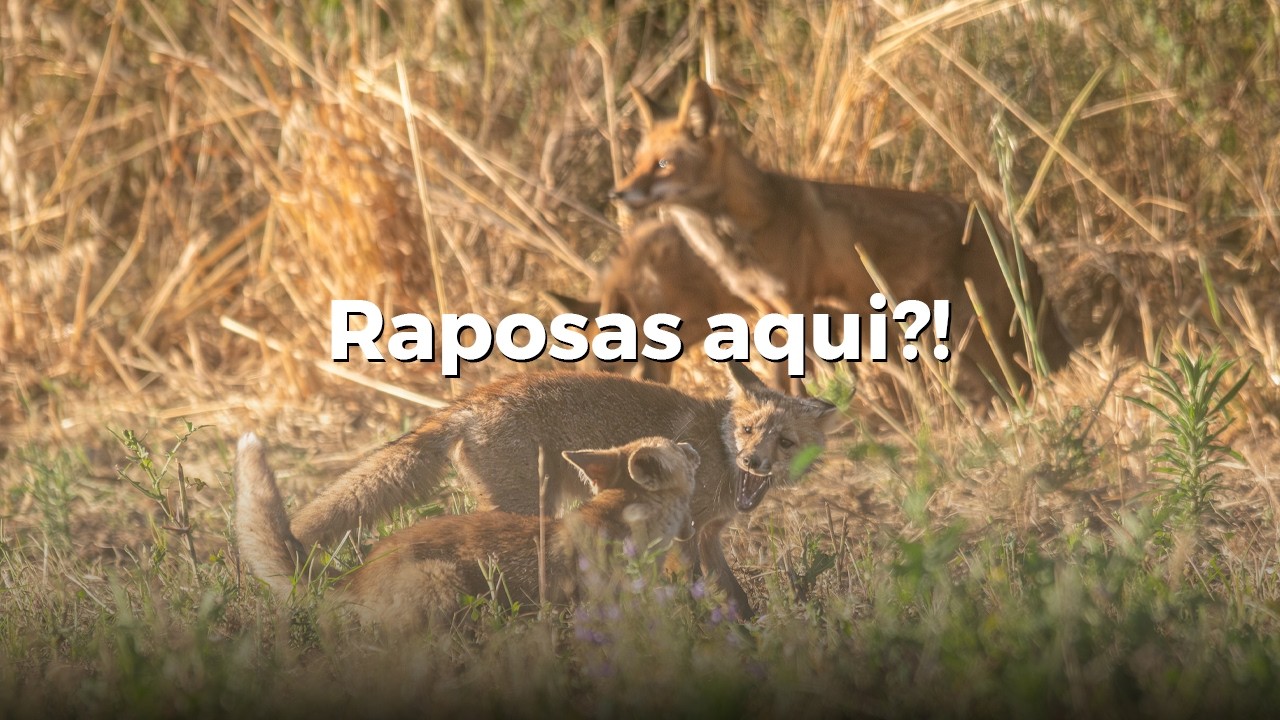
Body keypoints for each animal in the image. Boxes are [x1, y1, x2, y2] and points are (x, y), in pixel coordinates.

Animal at [262, 364, 841, 617]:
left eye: (784, 442)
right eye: (747, 430)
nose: (752, 461)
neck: (717, 453)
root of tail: (475, 399)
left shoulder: (709, 533)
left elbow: (735, 592)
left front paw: (749, 627)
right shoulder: (686, 532)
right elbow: (698, 584)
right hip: (525, 505)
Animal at [610, 78, 1074, 400]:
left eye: (664, 165)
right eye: (636, 163)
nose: (618, 194)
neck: (744, 231)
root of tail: (992, 218)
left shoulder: (794, 303)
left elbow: (797, 378)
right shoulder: (764, 309)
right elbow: (774, 377)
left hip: (970, 326)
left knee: (1019, 377)